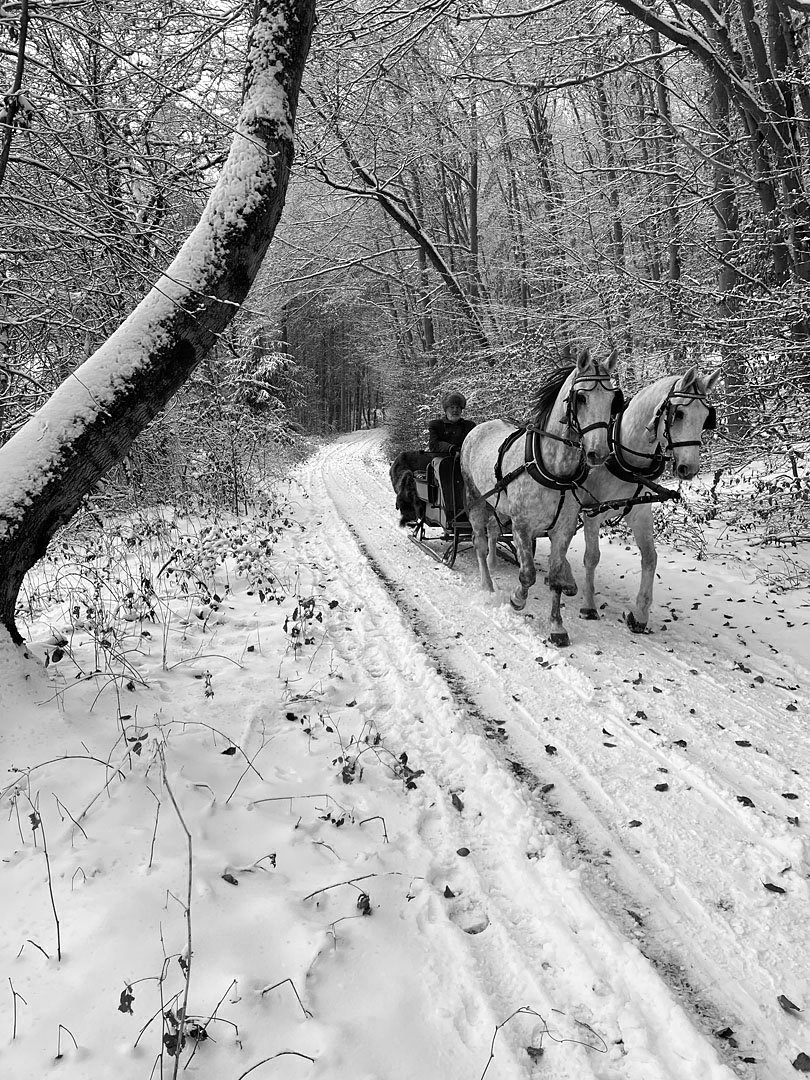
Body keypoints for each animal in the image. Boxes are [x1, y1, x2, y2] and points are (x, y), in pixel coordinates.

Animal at [462, 349, 622, 643]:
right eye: (581, 398)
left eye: (613, 401)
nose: (599, 453)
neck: (554, 470)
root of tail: (479, 427)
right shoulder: (522, 527)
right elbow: (527, 574)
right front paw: (517, 599)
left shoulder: (563, 529)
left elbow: (556, 576)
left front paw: (557, 626)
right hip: (475, 500)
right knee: (479, 542)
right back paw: (487, 585)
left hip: (497, 505)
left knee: (493, 532)